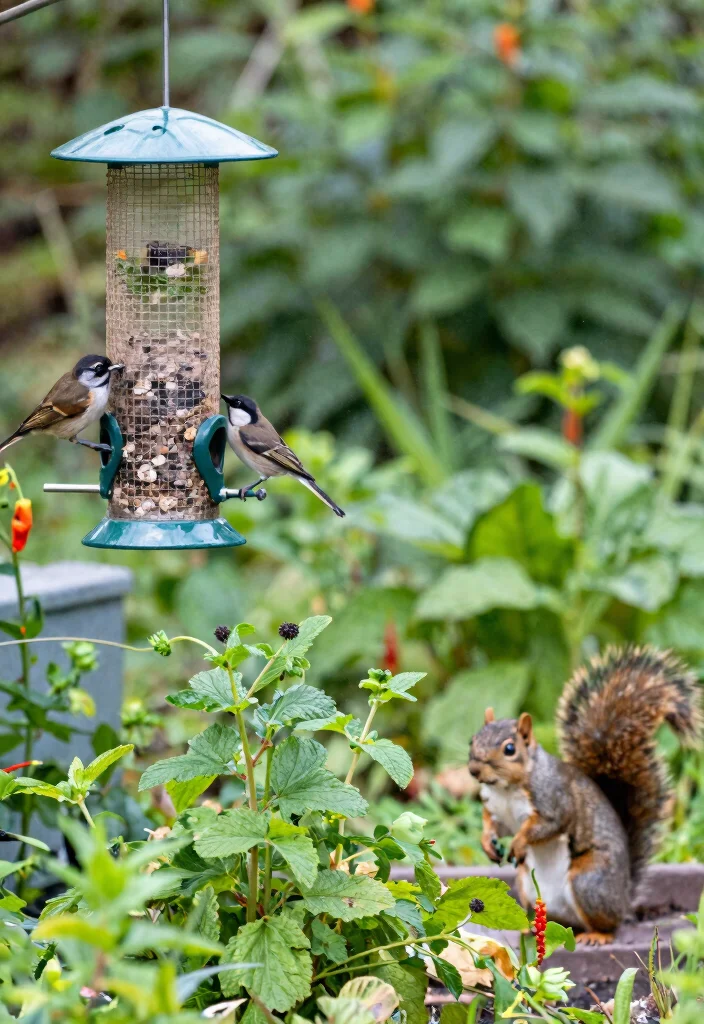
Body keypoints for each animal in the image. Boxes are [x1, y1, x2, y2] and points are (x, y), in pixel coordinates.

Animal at [469, 645, 702, 945]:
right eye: (472, 740)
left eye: (510, 749)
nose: (474, 770)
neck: (506, 788)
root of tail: (623, 899)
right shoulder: (497, 810)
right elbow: (494, 826)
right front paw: (487, 842)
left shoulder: (555, 800)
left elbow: (544, 826)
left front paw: (519, 842)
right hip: (527, 885)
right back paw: (528, 928)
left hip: (589, 881)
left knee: (608, 923)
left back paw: (597, 934)